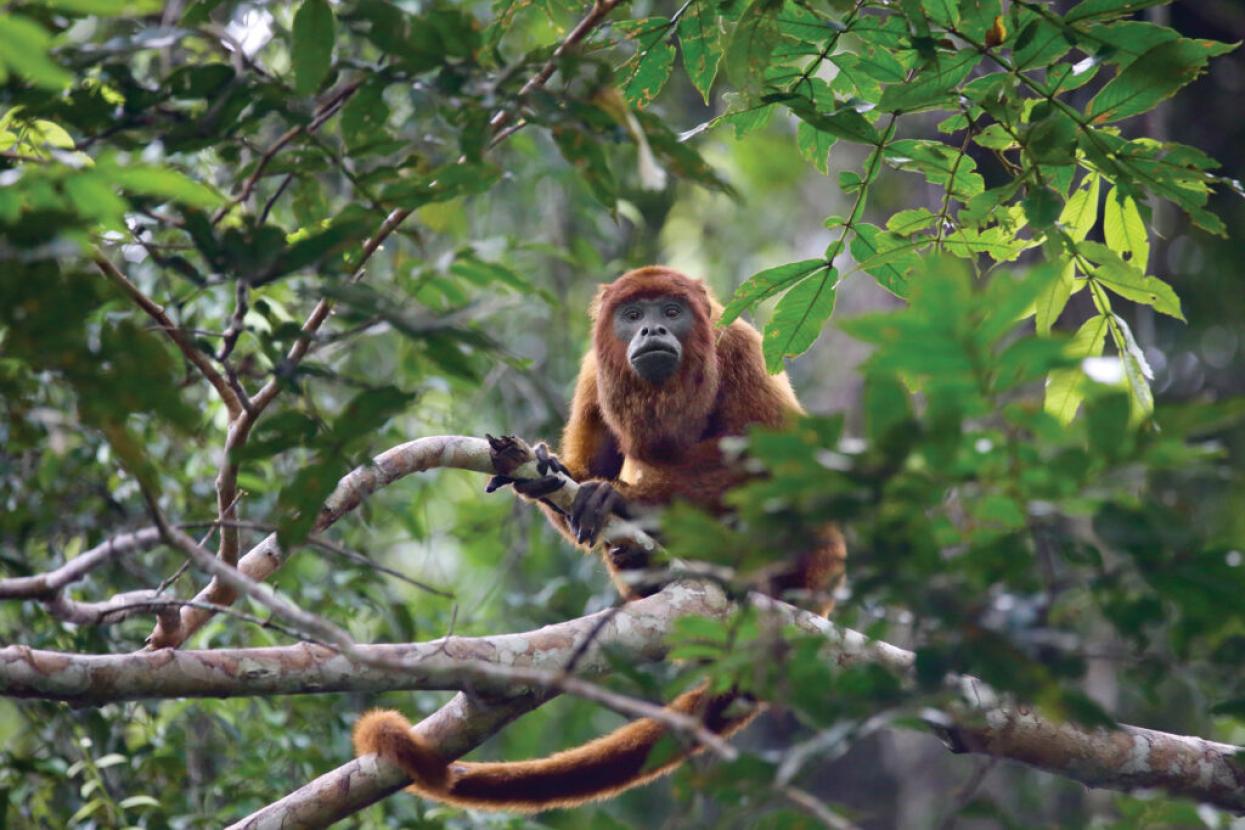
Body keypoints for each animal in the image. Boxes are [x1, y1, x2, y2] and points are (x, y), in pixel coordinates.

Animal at [354, 266, 846, 812]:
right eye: (632, 315)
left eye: (671, 310)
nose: (652, 329)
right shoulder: (595, 372)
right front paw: (548, 473)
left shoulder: (743, 348)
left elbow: (781, 459)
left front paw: (621, 497)